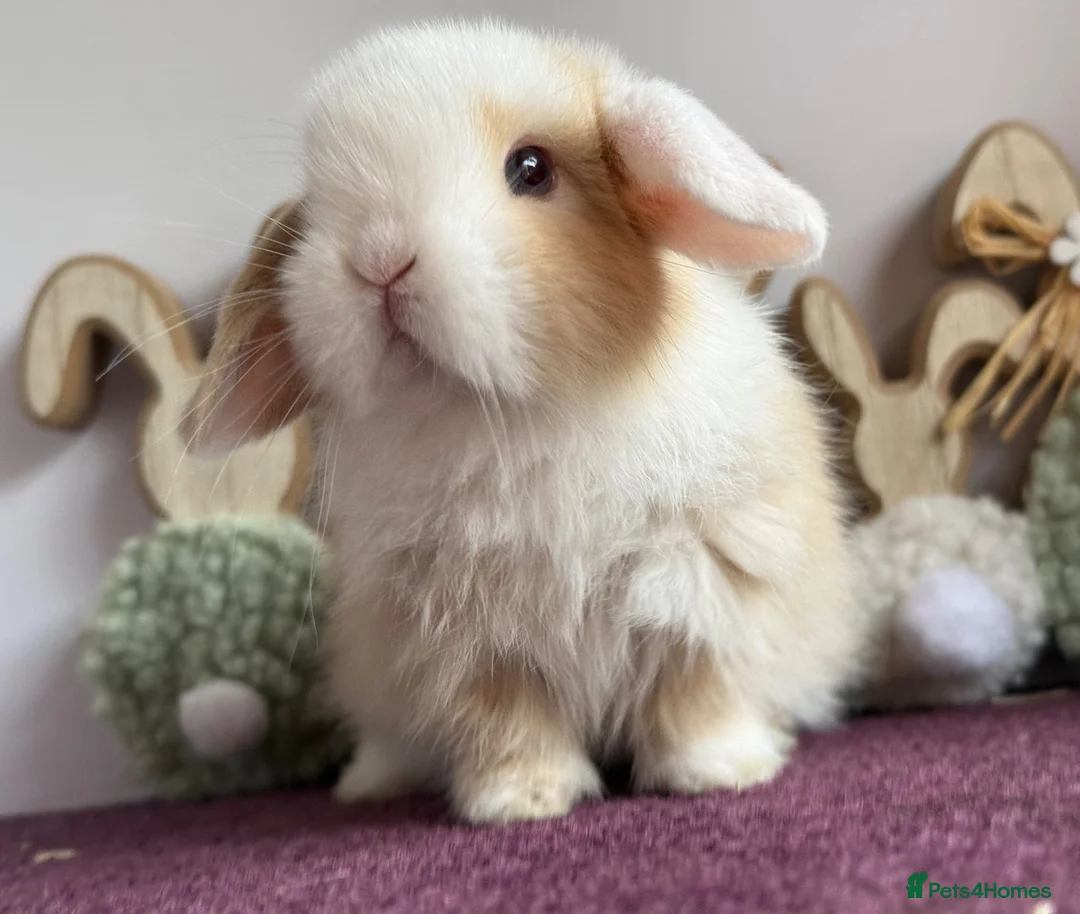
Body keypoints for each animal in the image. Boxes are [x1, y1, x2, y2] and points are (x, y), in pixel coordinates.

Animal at [182, 19, 865, 823]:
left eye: (532, 169)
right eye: (317, 204)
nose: (378, 259)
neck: (511, 417)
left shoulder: (702, 591)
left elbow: (696, 697)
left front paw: (719, 774)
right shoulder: (465, 642)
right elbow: (509, 723)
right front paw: (520, 802)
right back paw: (372, 782)